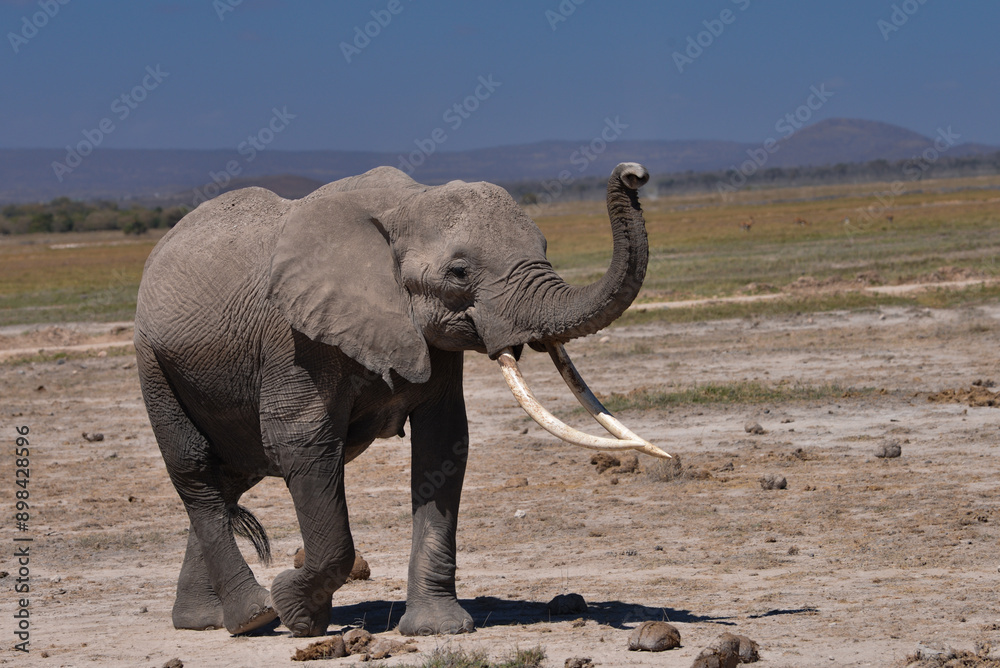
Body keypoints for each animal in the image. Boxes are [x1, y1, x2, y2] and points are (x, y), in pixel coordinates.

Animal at [134, 161, 667, 638]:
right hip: (154, 364)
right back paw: (253, 617)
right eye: (459, 272)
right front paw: (297, 614)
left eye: (547, 248)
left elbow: (444, 443)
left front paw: (436, 629)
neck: (406, 202)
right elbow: (301, 443)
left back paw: (207, 621)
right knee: (197, 471)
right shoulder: (294, 339)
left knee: (232, 478)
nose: (633, 174)